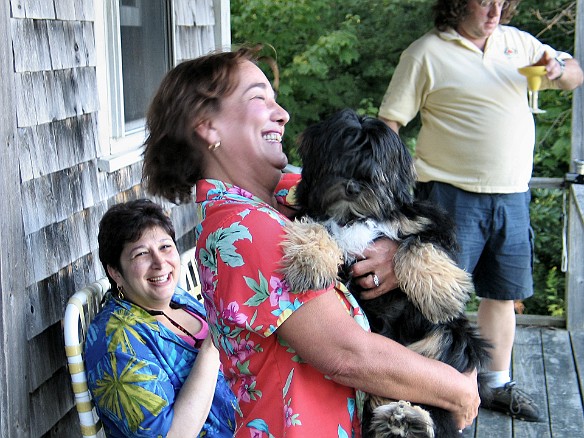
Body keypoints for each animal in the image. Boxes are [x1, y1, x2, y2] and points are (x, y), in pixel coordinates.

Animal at [280, 108, 490, 436]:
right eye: (340, 155)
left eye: (376, 162)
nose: (353, 186)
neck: (354, 217)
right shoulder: (315, 218)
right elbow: (316, 227)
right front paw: (308, 263)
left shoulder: (426, 221)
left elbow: (417, 245)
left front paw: (441, 297)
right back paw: (399, 420)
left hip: (452, 341)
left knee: (436, 403)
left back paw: (408, 420)